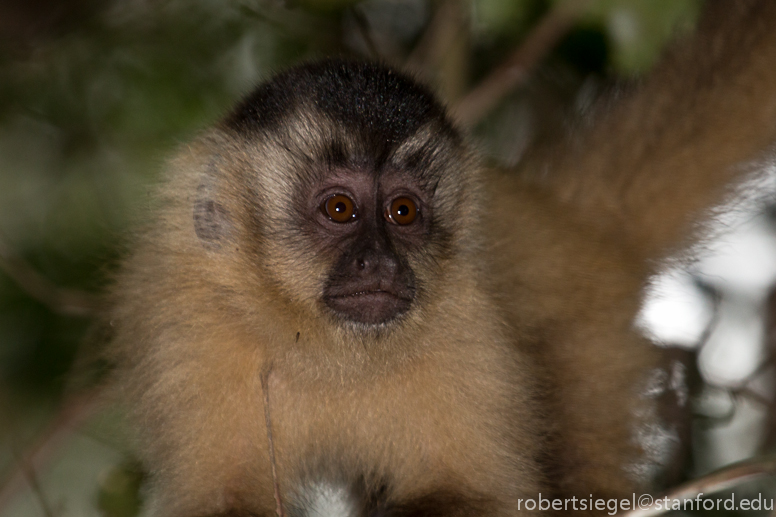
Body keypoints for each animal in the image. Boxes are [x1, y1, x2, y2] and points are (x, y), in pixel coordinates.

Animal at [109, 0, 776, 512]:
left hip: (591, 348)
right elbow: (224, 498)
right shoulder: (193, 327)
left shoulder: (467, 333)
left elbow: (476, 495)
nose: (379, 264)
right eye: (340, 209)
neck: (324, 349)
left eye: (403, 212)